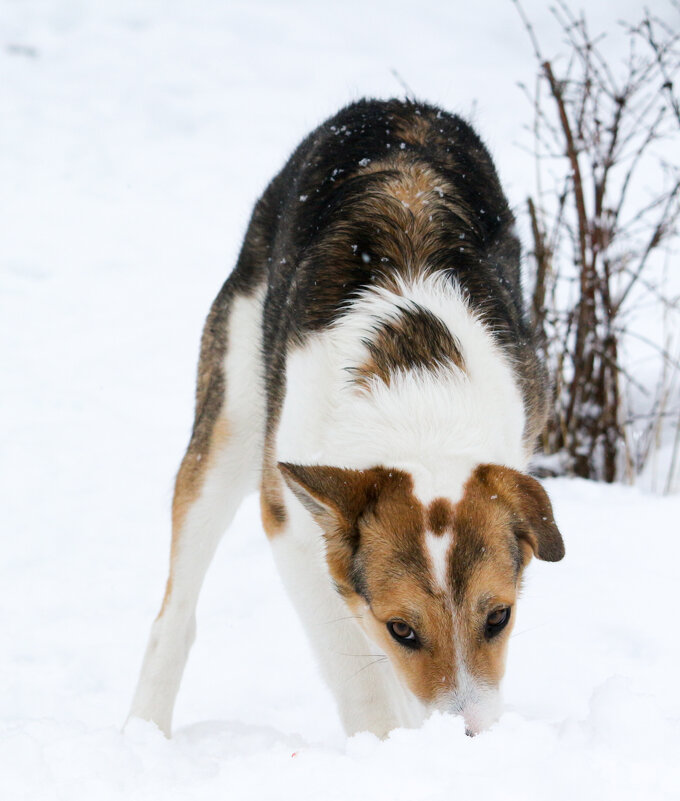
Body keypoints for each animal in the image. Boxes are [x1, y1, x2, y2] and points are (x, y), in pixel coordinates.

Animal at [127, 98, 564, 736]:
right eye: (402, 629)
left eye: (498, 618)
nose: (465, 738)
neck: (417, 402)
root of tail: (391, 105)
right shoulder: (291, 525)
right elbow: (361, 676)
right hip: (231, 425)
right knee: (176, 613)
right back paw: (144, 730)